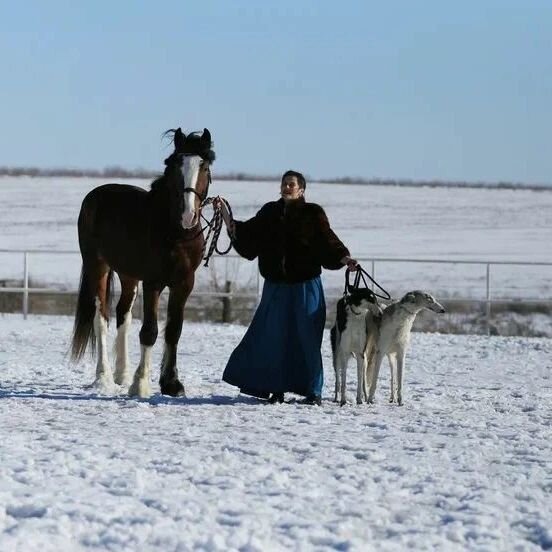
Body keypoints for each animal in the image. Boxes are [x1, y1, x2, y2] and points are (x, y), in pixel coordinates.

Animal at [69, 128, 216, 398]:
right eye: (175, 164)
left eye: (204, 166)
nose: (188, 215)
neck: (175, 234)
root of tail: (96, 194)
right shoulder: (153, 282)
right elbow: (150, 331)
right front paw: (141, 384)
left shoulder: (184, 284)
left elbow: (174, 330)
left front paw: (171, 383)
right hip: (97, 266)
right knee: (101, 318)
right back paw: (104, 378)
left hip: (129, 276)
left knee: (122, 315)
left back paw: (122, 375)